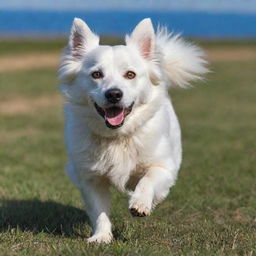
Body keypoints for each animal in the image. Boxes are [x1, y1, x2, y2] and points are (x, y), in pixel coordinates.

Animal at [58, 17, 208, 242]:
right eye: (96, 74)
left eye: (130, 74)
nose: (114, 94)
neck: (118, 136)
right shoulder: (90, 178)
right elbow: (99, 210)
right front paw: (101, 237)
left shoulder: (164, 167)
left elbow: (148, 179)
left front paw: (140, 203)